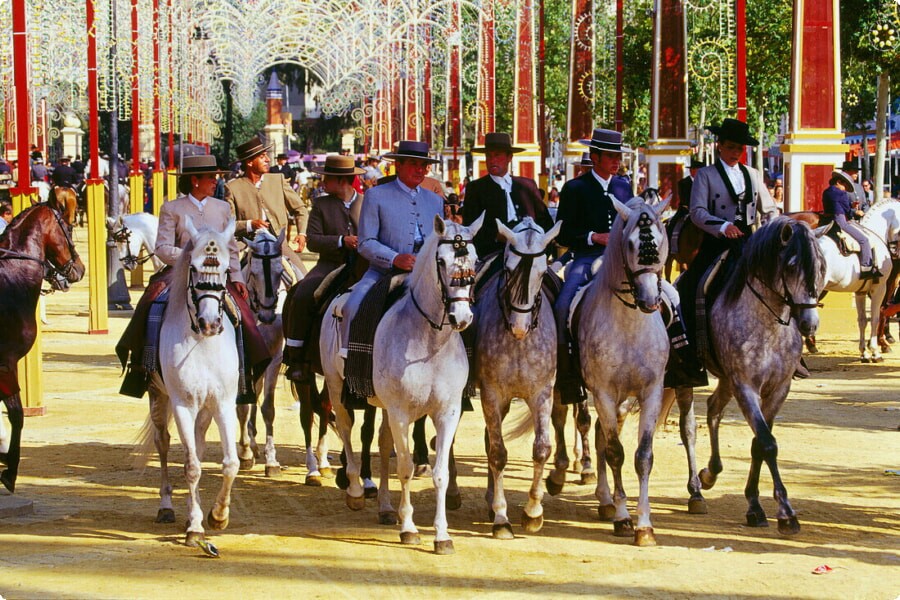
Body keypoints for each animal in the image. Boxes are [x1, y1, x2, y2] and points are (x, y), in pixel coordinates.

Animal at [141, 217, 239, 548]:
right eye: (194, 269)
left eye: (226, 269)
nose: (210, 324)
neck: (202, 343)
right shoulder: (183, 405)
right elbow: (192, 466)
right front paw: (196, 526)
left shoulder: (224, 405)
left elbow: (230, 463)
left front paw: (218, 516)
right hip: (159, 398)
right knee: (164, 444)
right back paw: (167, 507)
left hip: (205, 410)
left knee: (197, 443)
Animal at [318, 213, 482, 556]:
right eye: (442, 261)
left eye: (475, 259)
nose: (462, 317)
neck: (430, 341)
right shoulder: (401, 412)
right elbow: (405, 467)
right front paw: (409, 529)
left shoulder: (446, 412)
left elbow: (440, 473)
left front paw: (442, 535)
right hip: (338, 389)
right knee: (347, 429)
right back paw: (356, 491)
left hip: (384, 407)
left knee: (381, 443)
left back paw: (384, 507)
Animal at [576, 196, 668, 544]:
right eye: (630, 243)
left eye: (660, 237)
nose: (649, 300)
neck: (630, 326)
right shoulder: (601, 391)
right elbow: (615, 452)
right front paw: (622, 517)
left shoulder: (650, 392)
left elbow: (643, 456)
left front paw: (644, 525)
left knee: (601, 431)